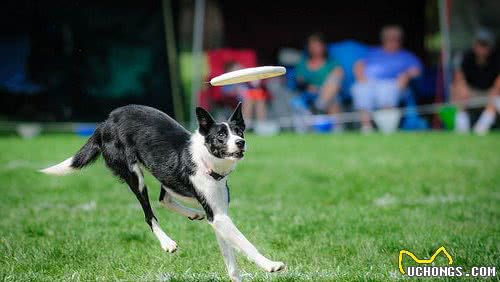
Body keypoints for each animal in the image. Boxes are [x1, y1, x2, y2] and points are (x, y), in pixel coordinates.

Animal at [39, 104, 286, 282]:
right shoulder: (219, 217)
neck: (206, 160)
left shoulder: (218, 214)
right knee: (149, 214)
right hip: (134, 175)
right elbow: (246, 244)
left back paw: (192, 213)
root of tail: (104, 123)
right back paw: (167, 242)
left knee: (163, 197)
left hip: (162, 172)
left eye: (239, 131)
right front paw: (271, 264)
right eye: (221, 136)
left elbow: (230, 256)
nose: (241, 142)